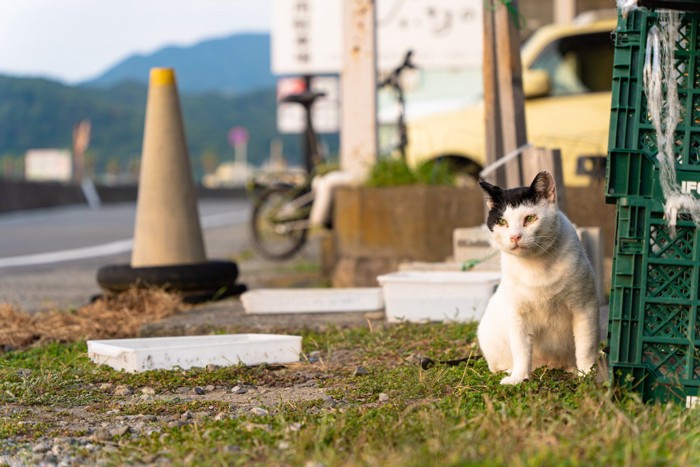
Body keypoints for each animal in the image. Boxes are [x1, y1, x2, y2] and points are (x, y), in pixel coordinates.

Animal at [478, 171, 600, 384]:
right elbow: (521, 349)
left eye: (530, 218)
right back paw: (512, 371)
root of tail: (550, 365)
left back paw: (573, 369)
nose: (515, 236)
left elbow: (586, 346)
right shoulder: (517, 314)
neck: (536, 265)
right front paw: (518, 378)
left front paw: (586, 373)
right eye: (502, 222)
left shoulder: (585, 308)